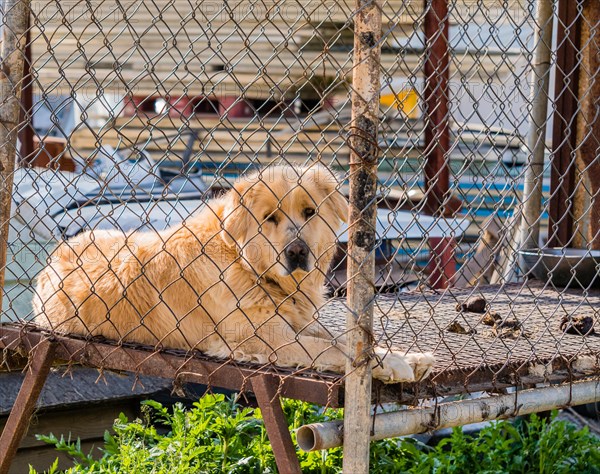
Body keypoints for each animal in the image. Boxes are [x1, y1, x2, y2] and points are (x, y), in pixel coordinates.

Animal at [32, 165, 434, 384]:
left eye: (309, 212)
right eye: (270, 217)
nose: (297, 252)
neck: (247, 265)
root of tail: (51, 258)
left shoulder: (296, 322)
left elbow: (344, 338)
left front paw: (406, 356)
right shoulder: (270, 338)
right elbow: (334, 348)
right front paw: (394, 363)